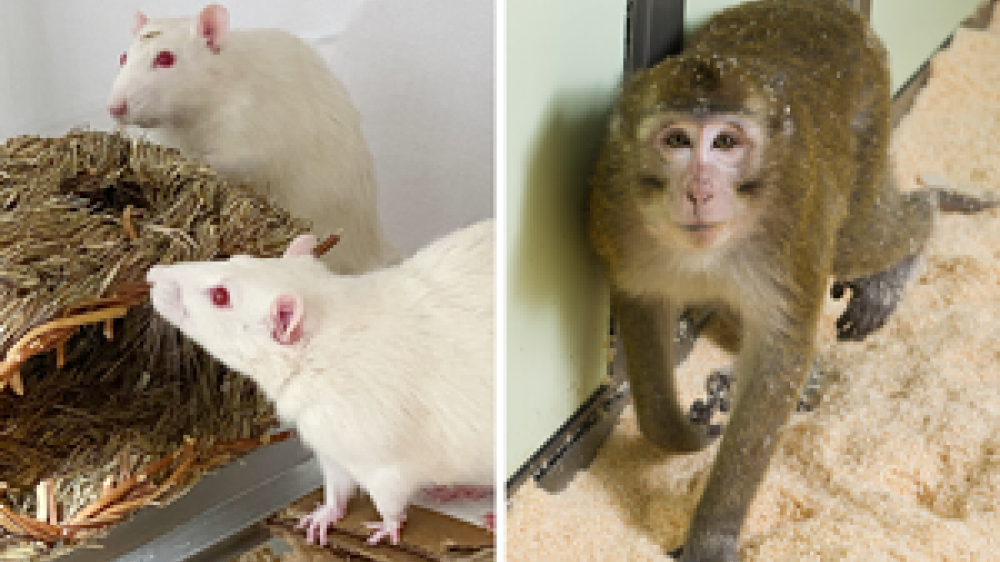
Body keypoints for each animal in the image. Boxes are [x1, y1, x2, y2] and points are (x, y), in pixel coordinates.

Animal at [584, 1, 992, 560]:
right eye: (676, 141)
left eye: (726, 142)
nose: (699, 191)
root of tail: (823, 10)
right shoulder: (617, 205)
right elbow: (642, 305)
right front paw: (679, 433)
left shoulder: (794, 220)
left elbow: (780, 350)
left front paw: (712, 534)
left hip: (865, 124)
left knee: (863, 237)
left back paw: (916, 230)